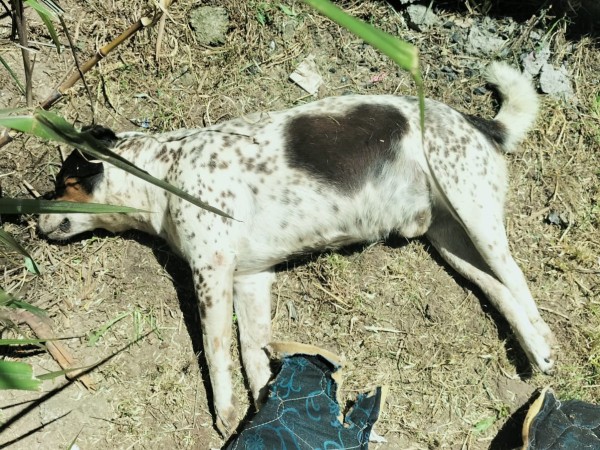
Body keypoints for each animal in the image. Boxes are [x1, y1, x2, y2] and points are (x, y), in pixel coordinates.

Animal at [36, 62, 552, 436]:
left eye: (62, 183)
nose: (31, 221)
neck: (162, 173)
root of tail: (476, 120)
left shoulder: (212, 273)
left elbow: (217, 352)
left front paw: (224, 411)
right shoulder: (250, 279)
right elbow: (255, 359)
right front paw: (270, 411)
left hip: (474, 211)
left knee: (518, 280)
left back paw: (543, 344)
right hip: (450, 241)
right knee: (499, 290)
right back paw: (534, 347)